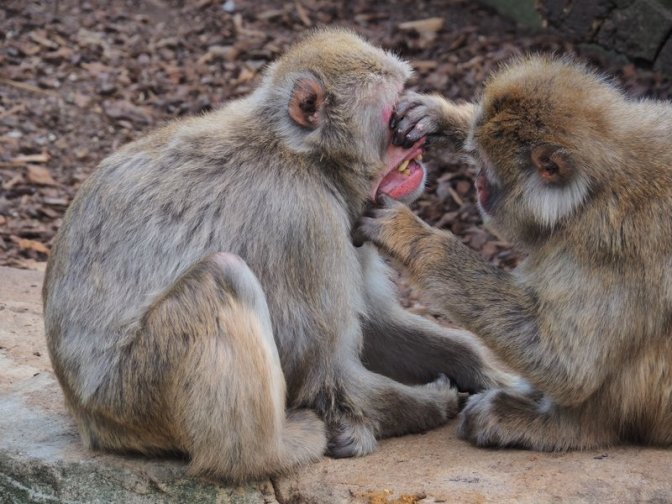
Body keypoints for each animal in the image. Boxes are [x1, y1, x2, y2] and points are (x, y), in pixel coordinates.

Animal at [42, 28, 510, 482]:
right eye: (389, 114)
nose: (417, 144)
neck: (306, 158)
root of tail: (84, 415)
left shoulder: (353, 220)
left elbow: (375, 327)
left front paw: (480, 369)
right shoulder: (304, 219)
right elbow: (327, 372)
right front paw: (432, 404)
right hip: (131, 394)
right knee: (222, 276)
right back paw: (267, 454)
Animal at [356, 55, 672, 451]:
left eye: (487, 169)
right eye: (475, 157)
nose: (477, 183)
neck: (591, 192)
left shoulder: (607, 244)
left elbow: (569, 365)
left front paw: (413, 236)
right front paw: (440, 115)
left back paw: (571, 426)